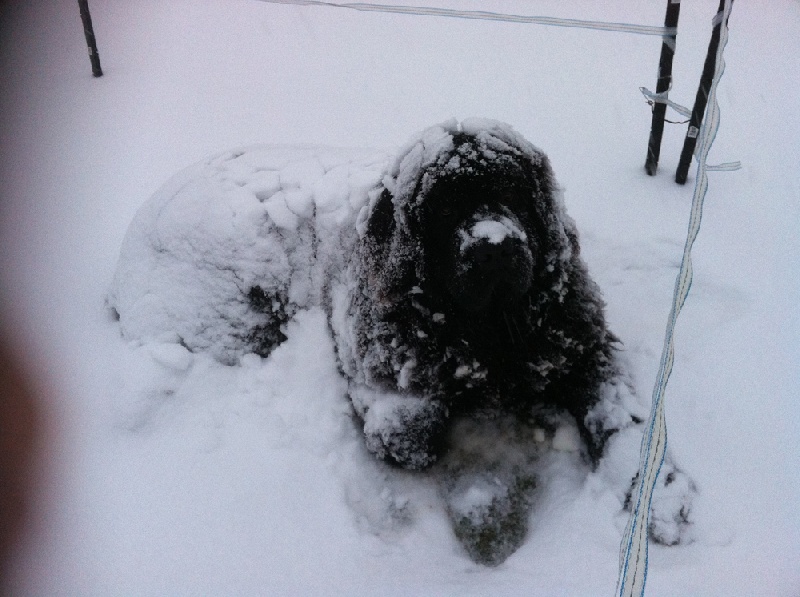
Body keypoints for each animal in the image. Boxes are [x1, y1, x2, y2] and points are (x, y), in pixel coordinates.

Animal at [330, 120, 624, 470]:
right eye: (444, 209)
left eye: (510, 193)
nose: (495, 248)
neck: (490, 326)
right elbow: (407, 435)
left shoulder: (582, 343)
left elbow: (608, 405)